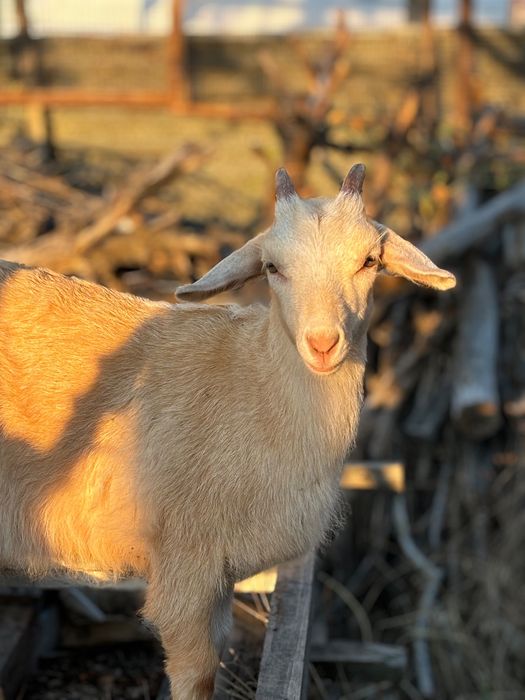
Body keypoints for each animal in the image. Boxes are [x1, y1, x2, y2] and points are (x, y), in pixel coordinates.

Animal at [0, 164, 455, 699]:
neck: (251, 384)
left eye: (368, 261)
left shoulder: (218, 579)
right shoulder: (187, 565)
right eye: (273, 268)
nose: (323, 344)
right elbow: (196, 675)